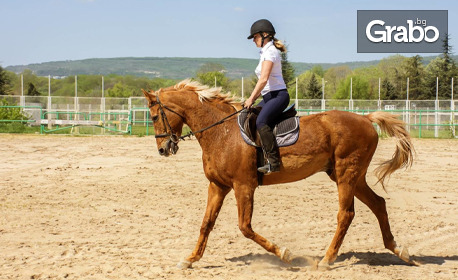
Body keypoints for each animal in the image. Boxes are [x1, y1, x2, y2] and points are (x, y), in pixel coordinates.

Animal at [143, 79, 416, 270]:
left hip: (346, 174)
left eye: (155, 116)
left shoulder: (243, 185)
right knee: (378, 204)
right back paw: (399, 251)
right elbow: (206, 224)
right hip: (351, 176)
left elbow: (245, 227)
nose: (162, 149)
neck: (222, 132)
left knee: (346, 214)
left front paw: (287, 254)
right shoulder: (218, 185)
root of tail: (365, 118)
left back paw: (327, 260)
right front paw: (190, 259)